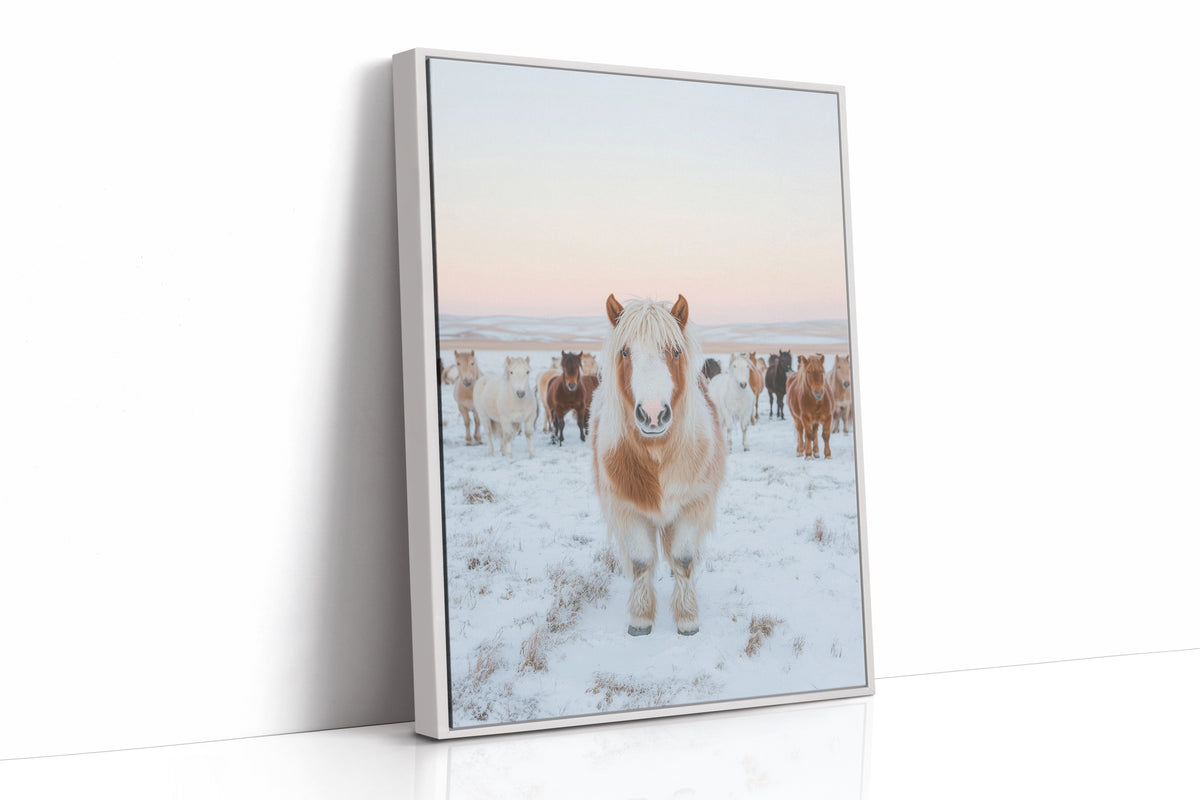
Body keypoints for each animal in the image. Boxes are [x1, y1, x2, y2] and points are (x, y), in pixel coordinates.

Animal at [591, 294, 725, 637]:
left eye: (675, 351)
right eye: (625, 351)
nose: (653, 415)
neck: (658, 453)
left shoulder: (693, 504)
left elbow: (683, 558)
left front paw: (687, 618)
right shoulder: (627, 509)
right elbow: (641, 561)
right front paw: (640, 619)